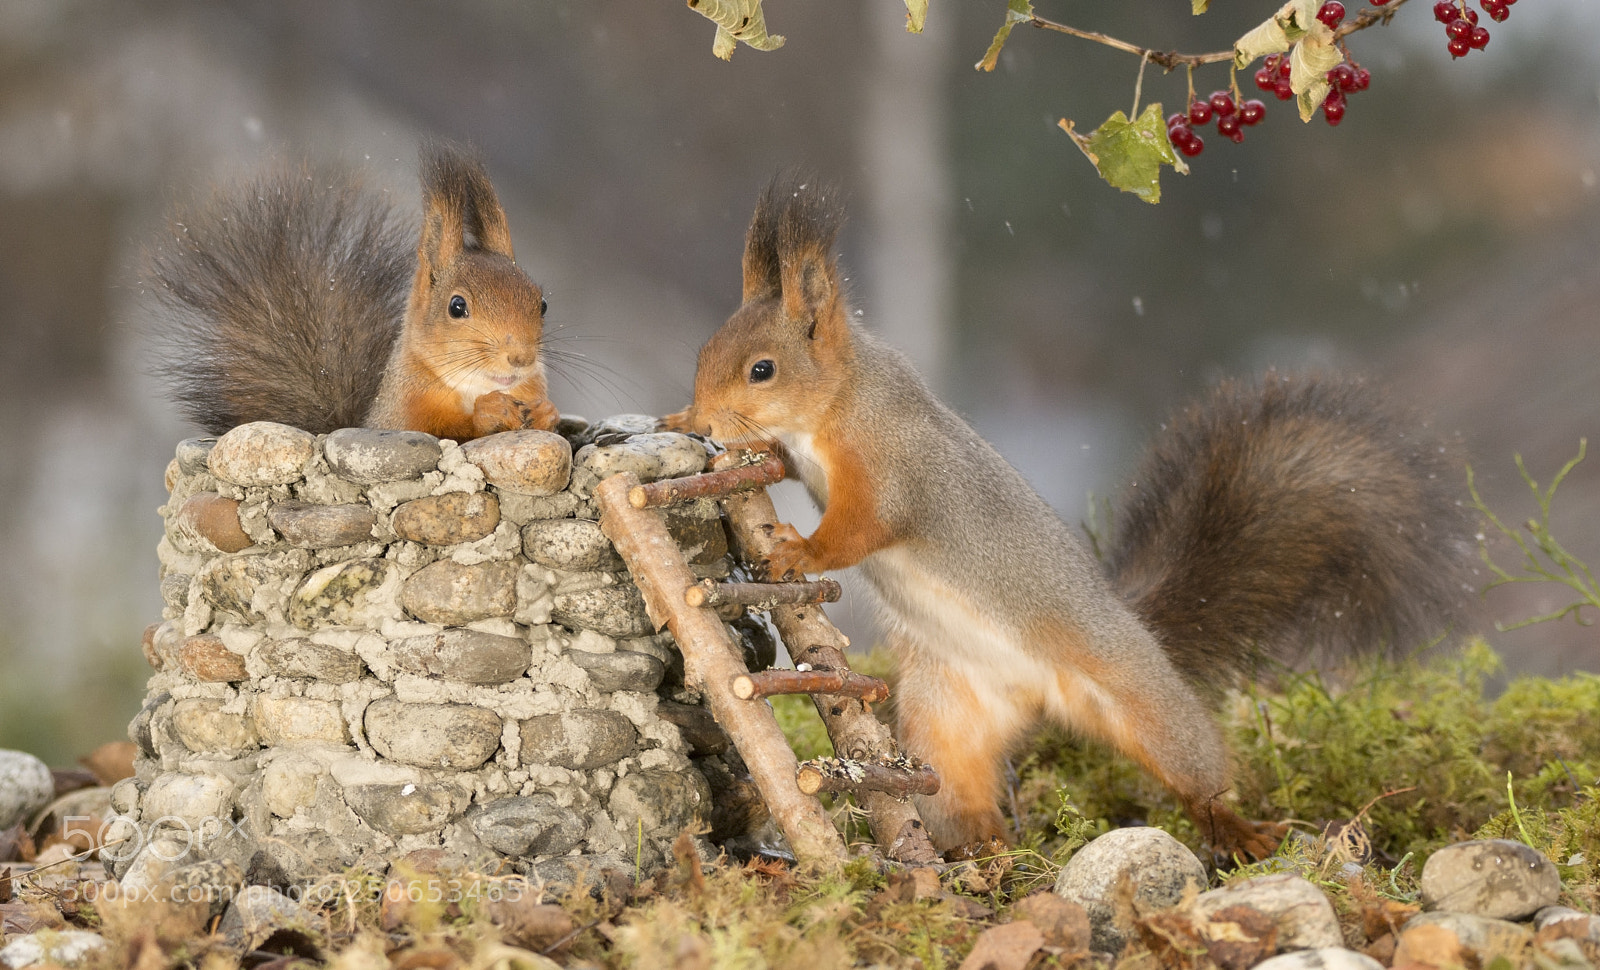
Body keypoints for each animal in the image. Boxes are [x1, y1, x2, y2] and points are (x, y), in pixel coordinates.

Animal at [147, 140, 558, 440]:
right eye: (457, 307)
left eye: (542, 304)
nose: (520, 358)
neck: (473, 387)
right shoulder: (402, 416)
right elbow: (444, 431)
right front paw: (492, 410)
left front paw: (545, 412)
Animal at [667, 174, 1476, 860]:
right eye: (703, 351)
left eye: (762, 369)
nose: (702, 415)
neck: (840, 401)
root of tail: (1041, 692)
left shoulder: (895, 470)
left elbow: (859, 530)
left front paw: (798, 551)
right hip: (945, 710)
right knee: (958, 787)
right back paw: (982, 846)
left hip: (1142, 697)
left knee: (1195, 769)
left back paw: (1234, 827)